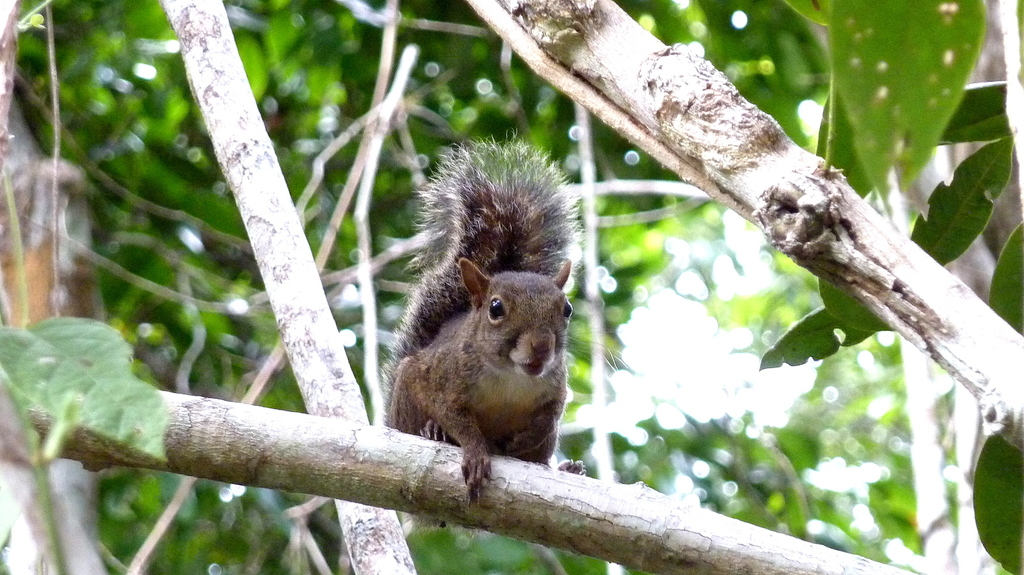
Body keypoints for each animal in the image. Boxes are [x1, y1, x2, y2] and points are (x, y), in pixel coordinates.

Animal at [385, 141, 585, 501]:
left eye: (567, 309)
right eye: (496, 308)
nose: (541, 346)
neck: (511, 376)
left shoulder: (556, 386)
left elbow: (551, 416)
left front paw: (528, 436)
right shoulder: (444, 380)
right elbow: (458, 420)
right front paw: (475, 451)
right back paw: (433, 431)